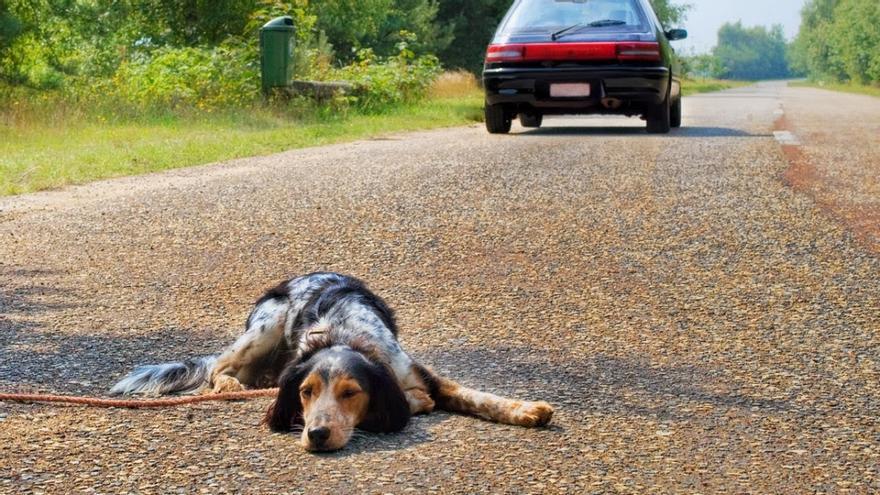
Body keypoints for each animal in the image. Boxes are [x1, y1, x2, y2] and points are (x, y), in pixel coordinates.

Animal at [108, 274, 552, 452]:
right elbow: (416, 401)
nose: (317, 434)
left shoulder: (417, 371)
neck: (343, 335)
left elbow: (474, 395)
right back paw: (230, 385)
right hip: (267, 323)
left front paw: (526, 409)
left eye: (350, 393)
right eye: (305, 394)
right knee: (219, 367)